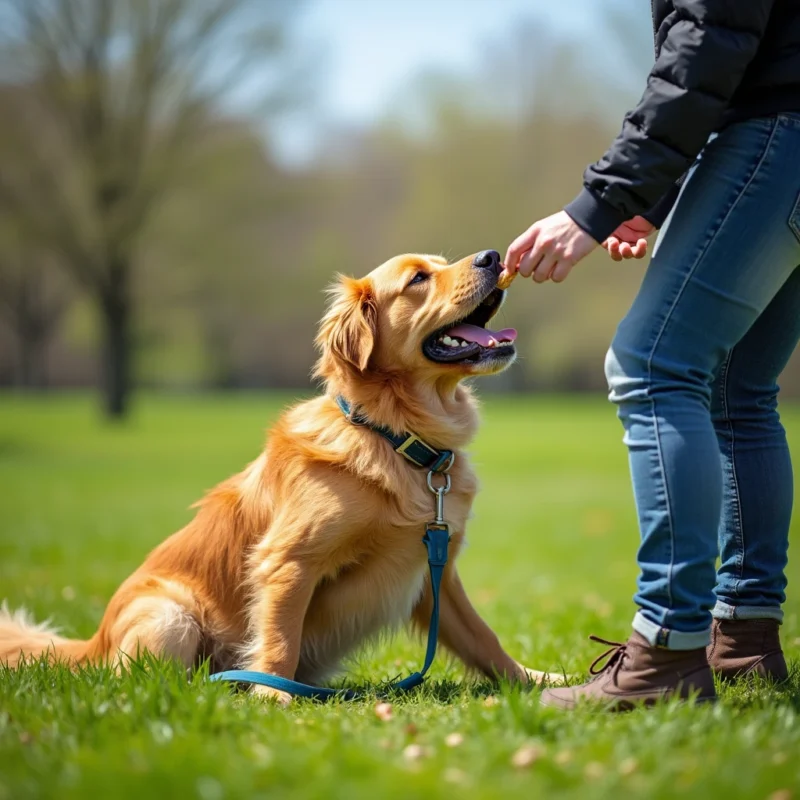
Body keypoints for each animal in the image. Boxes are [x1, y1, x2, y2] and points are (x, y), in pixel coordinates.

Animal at [0, 248, 552, 700]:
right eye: (418, 278)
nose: (494, 255)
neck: (395, 437)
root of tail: (92, 641)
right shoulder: (289, 561)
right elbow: (281, 636)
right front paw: (274, 695)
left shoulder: (437, 572)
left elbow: (484, 637)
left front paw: (533, 679)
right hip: (170, 615)